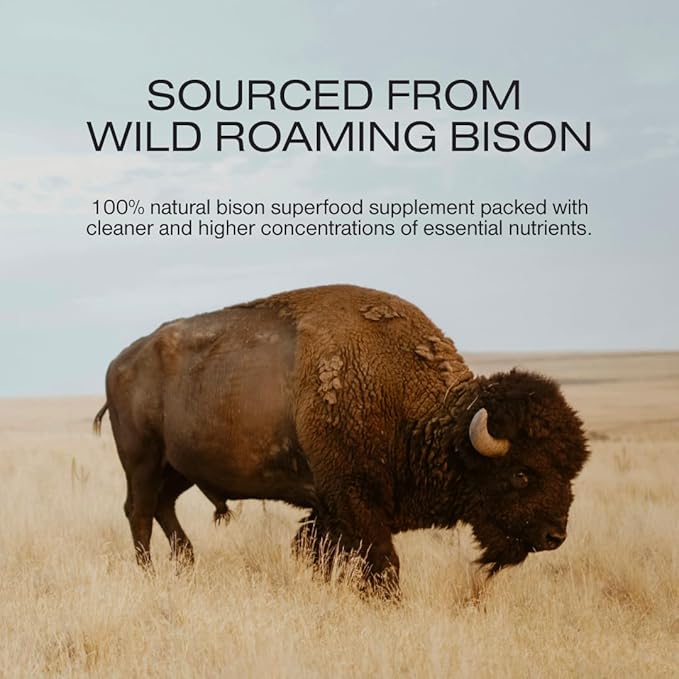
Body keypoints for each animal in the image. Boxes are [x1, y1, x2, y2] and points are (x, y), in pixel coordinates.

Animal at [94, 285, 589, 593]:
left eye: (571, 471)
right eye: (522, 473)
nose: (555, 535)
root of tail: (120, 361)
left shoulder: (330, 509)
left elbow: (320, 553)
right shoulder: (353, 499)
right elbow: (382, 562)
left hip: (179, 468)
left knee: (163, 507)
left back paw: (187, 563)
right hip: (142, 459)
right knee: (139, 512)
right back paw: (150, 573)